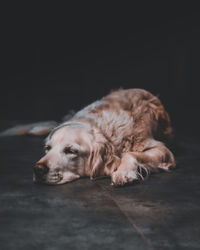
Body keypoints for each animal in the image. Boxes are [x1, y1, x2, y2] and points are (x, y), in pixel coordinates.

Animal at [32, 88, 175, 186]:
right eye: (47, 148)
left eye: (70, 151)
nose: (38, 169)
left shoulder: (163, 150)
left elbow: (130, 154)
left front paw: (123, 172)